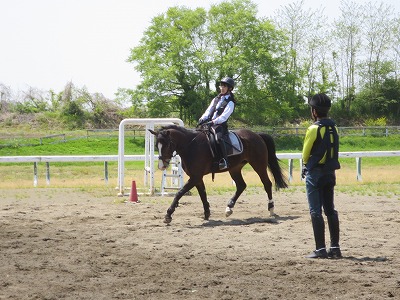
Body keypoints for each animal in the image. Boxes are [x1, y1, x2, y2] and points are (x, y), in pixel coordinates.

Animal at [148, 124, 288, 223]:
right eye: (156, 145)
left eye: (167, 145)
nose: (161, 166)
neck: (190, 145)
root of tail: (257, 135)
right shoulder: (197, 177)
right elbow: (203, 194)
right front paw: (207, 213)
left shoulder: (195, 177)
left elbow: (179, 193)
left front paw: (168, 214)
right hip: (235, 168)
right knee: (241, 185)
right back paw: (229, 208)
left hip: (258, 165)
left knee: (267, 184)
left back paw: (271, 209)